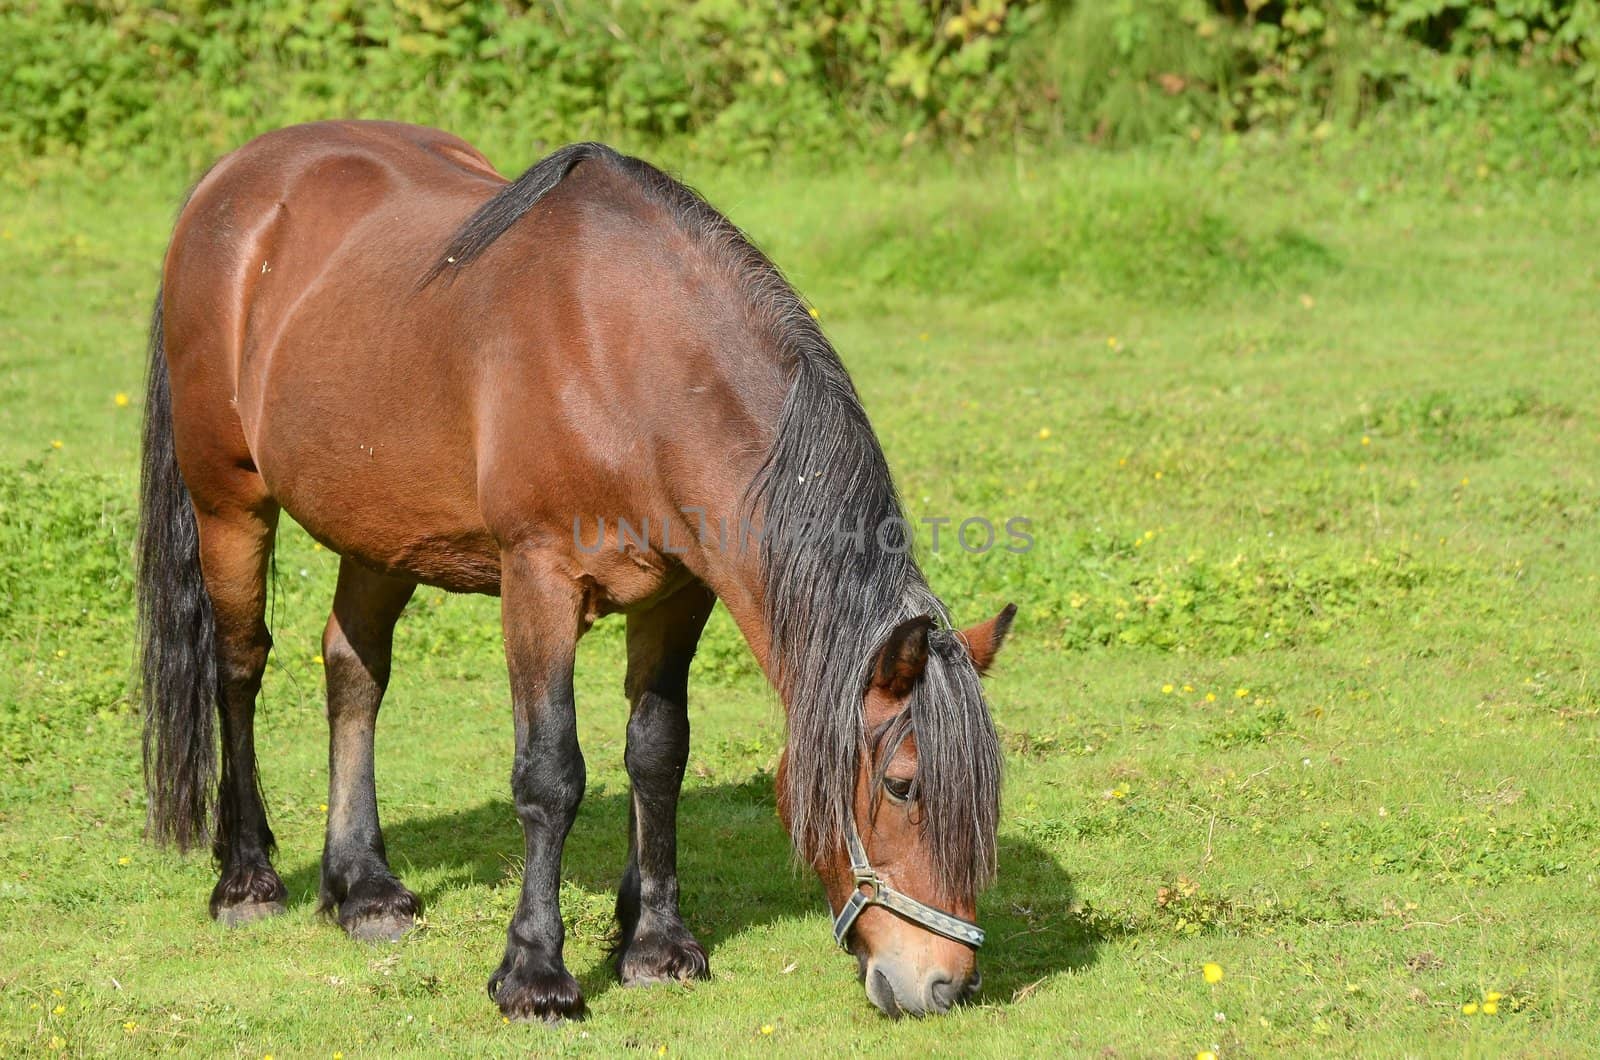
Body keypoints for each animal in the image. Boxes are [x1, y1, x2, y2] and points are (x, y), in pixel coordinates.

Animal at [137, 120, 1011, 1024]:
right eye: (903, 785)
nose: (944, 983)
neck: (628, 362)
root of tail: (231, 179)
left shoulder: (679, 596)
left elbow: (658, 753)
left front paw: (656, 943)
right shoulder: (539, 584)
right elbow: (550, 774)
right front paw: (535, 973)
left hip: (377, 529)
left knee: (353, 669)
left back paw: (365, 889)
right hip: (229, 502)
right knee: (239, 668)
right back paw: (247, 878)